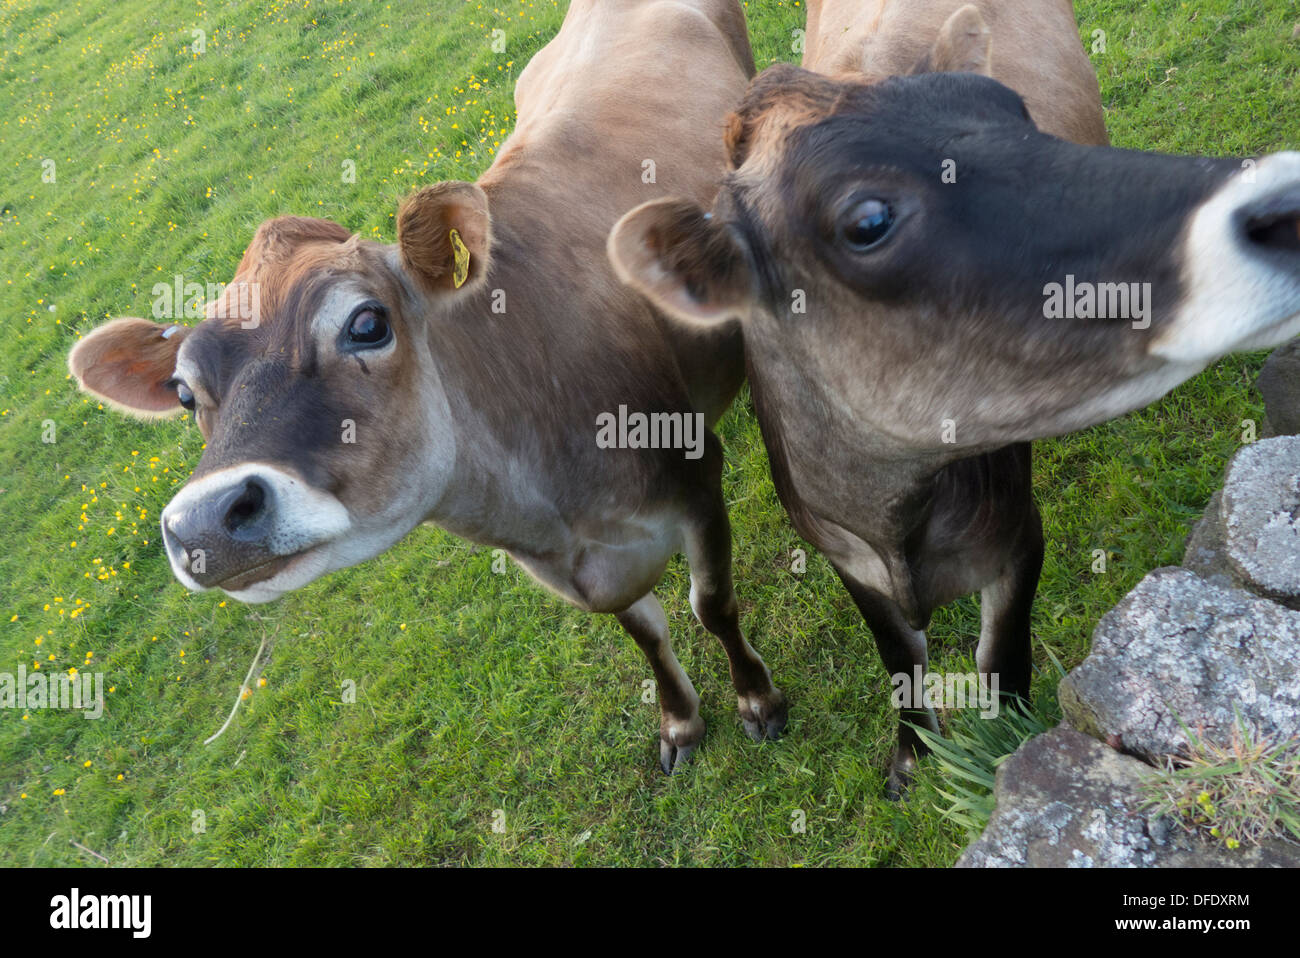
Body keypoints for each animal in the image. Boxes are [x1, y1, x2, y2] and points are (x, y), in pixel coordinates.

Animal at [65, 0, 787, 775]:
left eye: (367, 323)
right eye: (182, 392)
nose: (203, 522)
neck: (551, 509)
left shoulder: (696, 479)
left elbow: (711, 603)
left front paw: (758, 700)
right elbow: (646, 631)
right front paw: (679, 722)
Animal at [608, 14, 1300, 794]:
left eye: (1016, 110)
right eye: (867, 220)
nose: (1283, 201)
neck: (897, 522)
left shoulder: (1019, 532)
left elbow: (1001, 658)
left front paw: (1007, 744)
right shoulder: (843, 555)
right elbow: (899, 663)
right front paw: (911, 759)